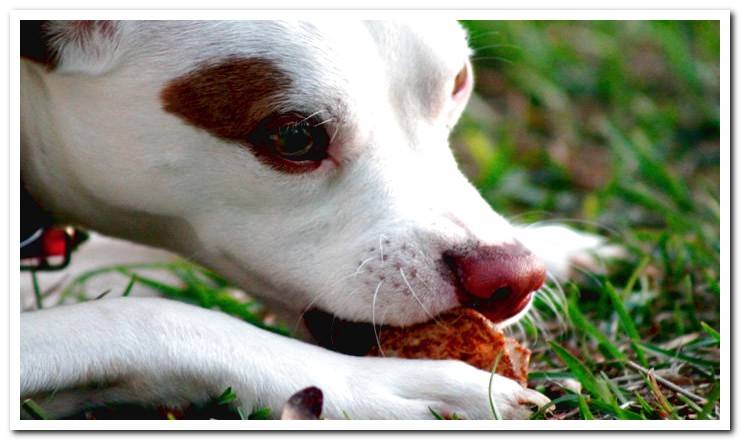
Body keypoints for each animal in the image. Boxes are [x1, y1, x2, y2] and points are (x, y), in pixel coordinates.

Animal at [20, 19, 608, 420]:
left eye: (457, 82)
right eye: (295, 136)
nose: (512, 279)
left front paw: (552, 245)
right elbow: (144, 317)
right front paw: (388, 385)